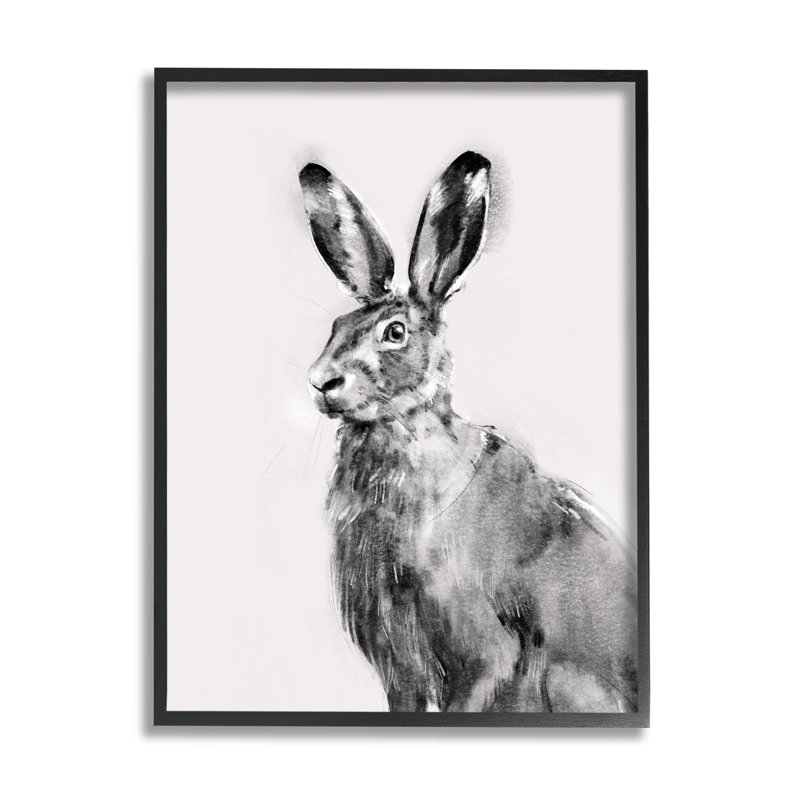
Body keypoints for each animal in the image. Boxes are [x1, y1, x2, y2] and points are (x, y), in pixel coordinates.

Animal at [299, 152, 637, 713]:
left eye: (395, 332)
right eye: (337, 326)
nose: (321, 381)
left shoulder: (482, 654)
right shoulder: (401, 672)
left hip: (567, 685)